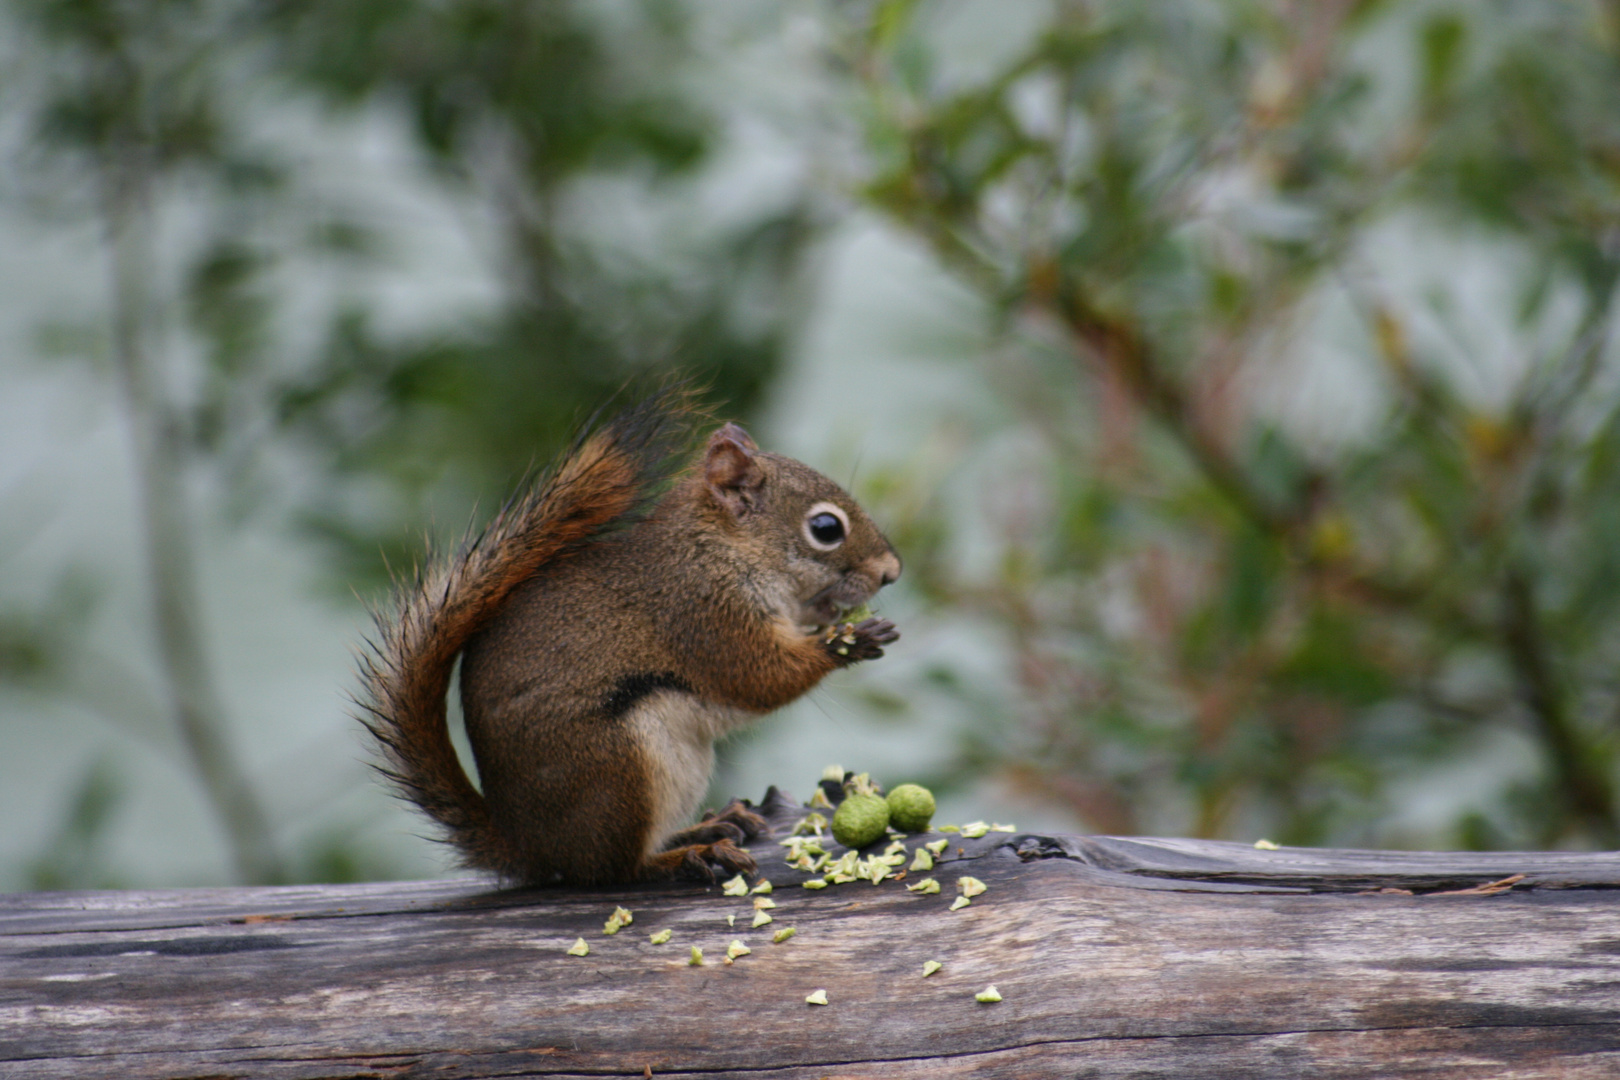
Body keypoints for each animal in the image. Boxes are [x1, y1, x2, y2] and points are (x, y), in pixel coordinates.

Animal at [356, 390, 907, 887]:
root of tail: (533, 850)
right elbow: (759, 677)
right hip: (617, 769)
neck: (721, 548)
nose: (892, 573)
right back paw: (690, 856)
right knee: (615, 870)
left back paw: (711, 826)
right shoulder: (702, 613)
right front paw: (848, 641)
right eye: (826, 527)